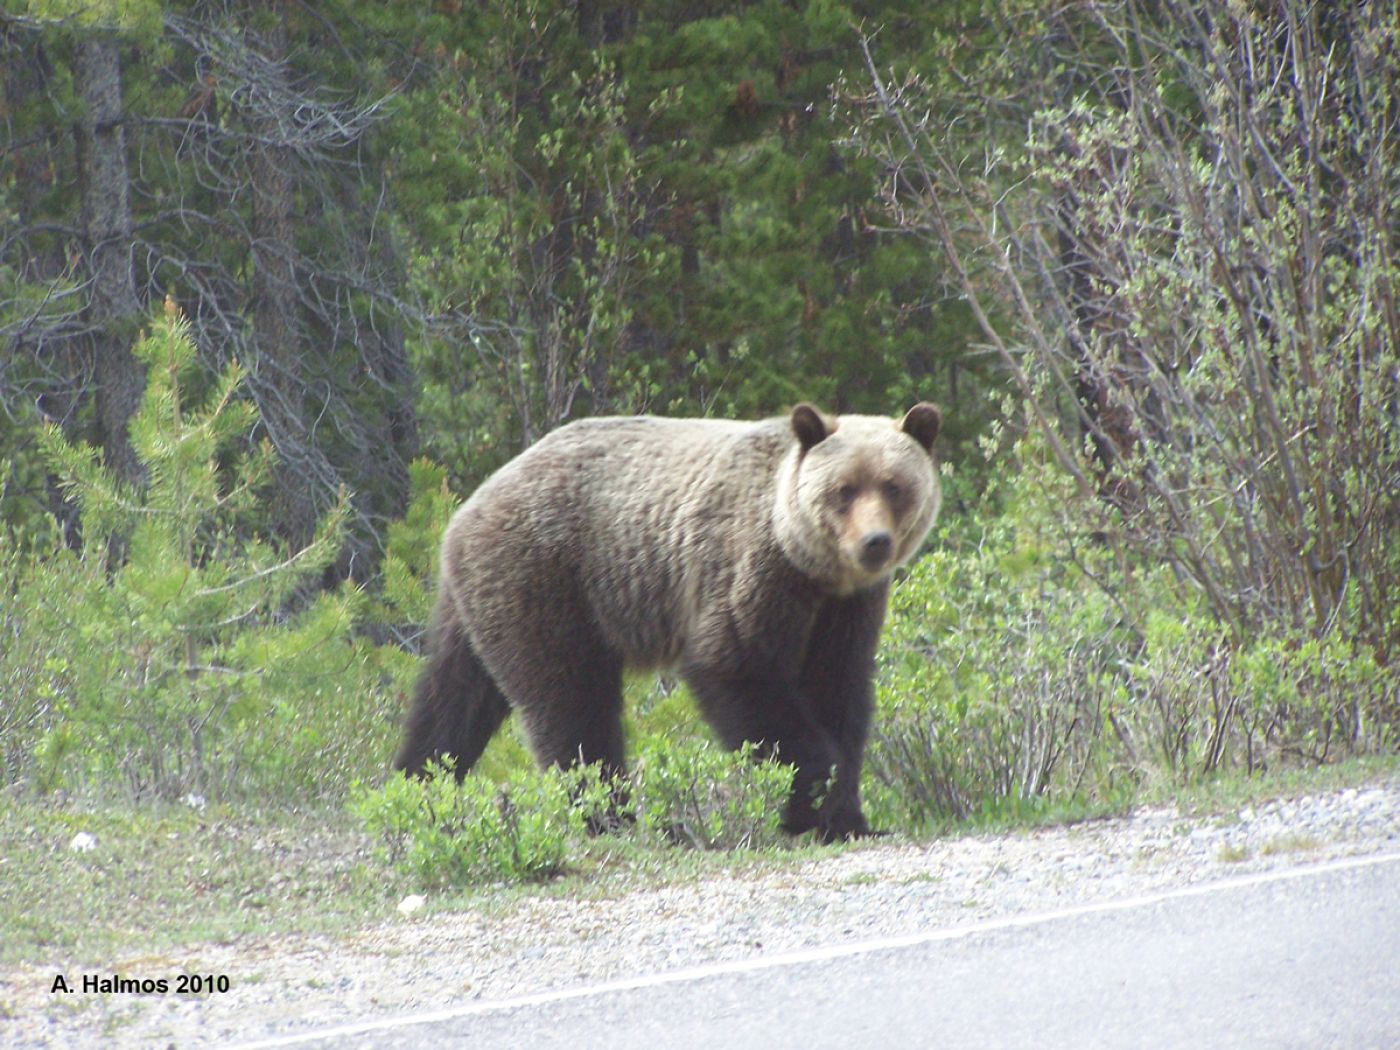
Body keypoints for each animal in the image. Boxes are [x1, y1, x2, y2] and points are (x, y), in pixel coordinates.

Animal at [394, 397, 940, 845]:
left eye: (894, 486)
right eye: (844, 489)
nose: (874, 542)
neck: (814, 570)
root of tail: (467, 506)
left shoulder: (846, 608)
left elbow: (839, 689)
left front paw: (849, 816)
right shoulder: (749, 570)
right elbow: (737, 669)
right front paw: (810, 802)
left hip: (475, 602)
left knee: (453, 699)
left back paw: (415, 792)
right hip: (547, 578)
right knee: (571, 702)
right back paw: (617, 819)